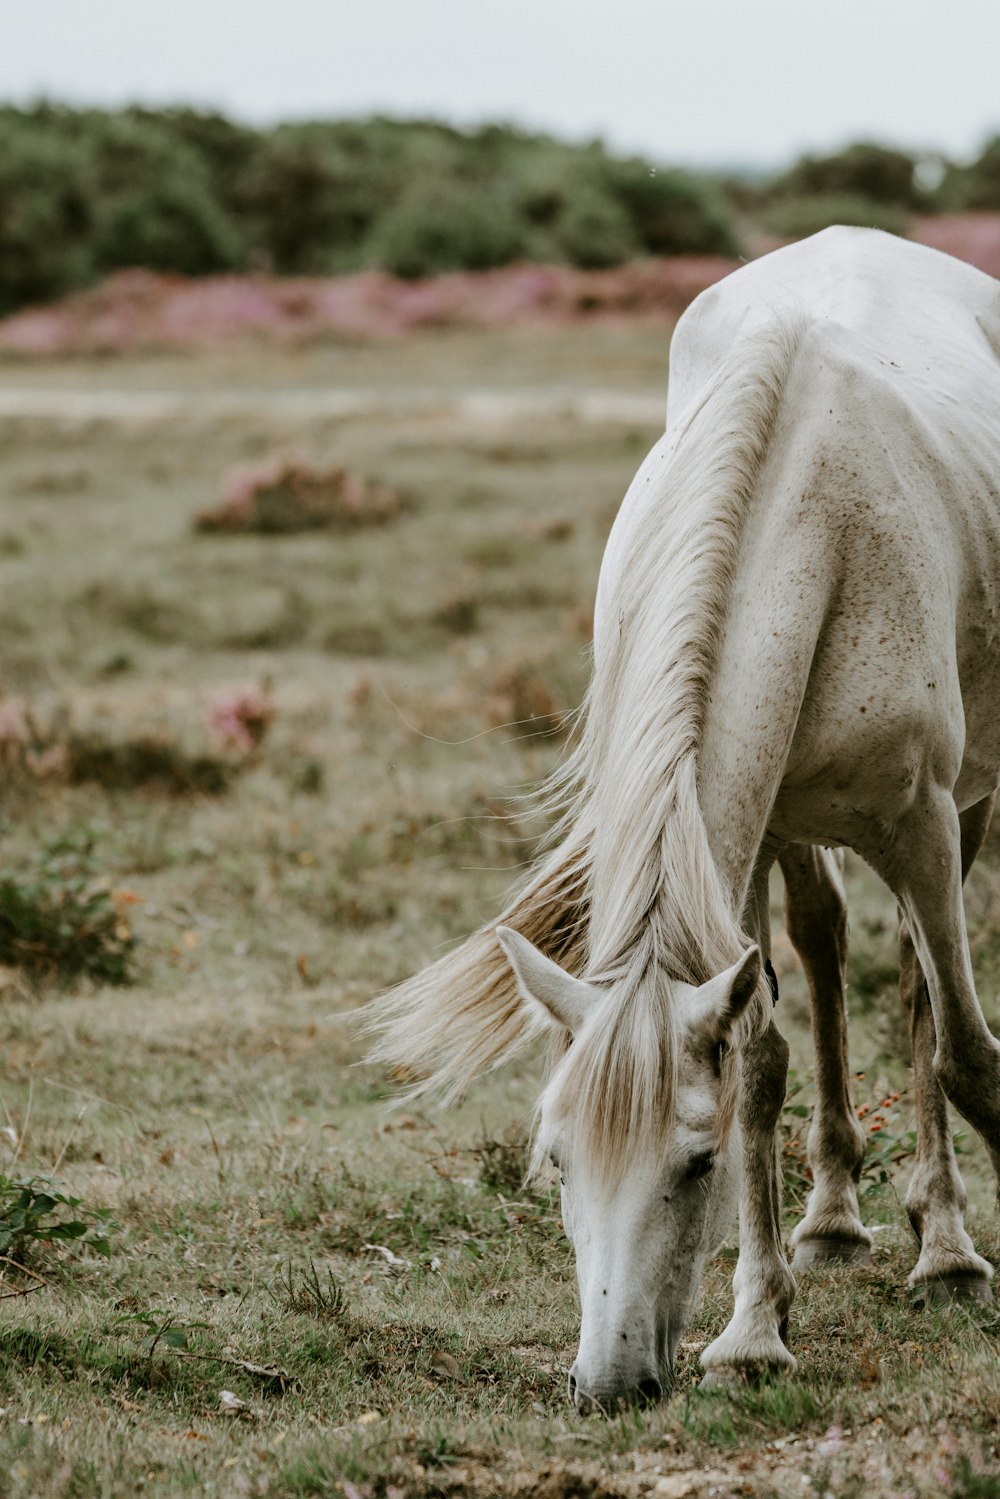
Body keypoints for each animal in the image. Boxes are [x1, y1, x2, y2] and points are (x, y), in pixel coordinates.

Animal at [371, 227, 1000, 1409]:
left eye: (692, 1166)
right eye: (555, 1161)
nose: (609, 1383)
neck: (811, 526)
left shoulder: (927, 822)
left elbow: (964, 1053)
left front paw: (947, 1257)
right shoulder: (731, 849)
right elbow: (757, 1065)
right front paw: (754, 1329)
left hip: (966, 802)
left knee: (915, 987)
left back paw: (936, 1240)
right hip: (789, 829)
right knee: (825, 949)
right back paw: (832, 1217)